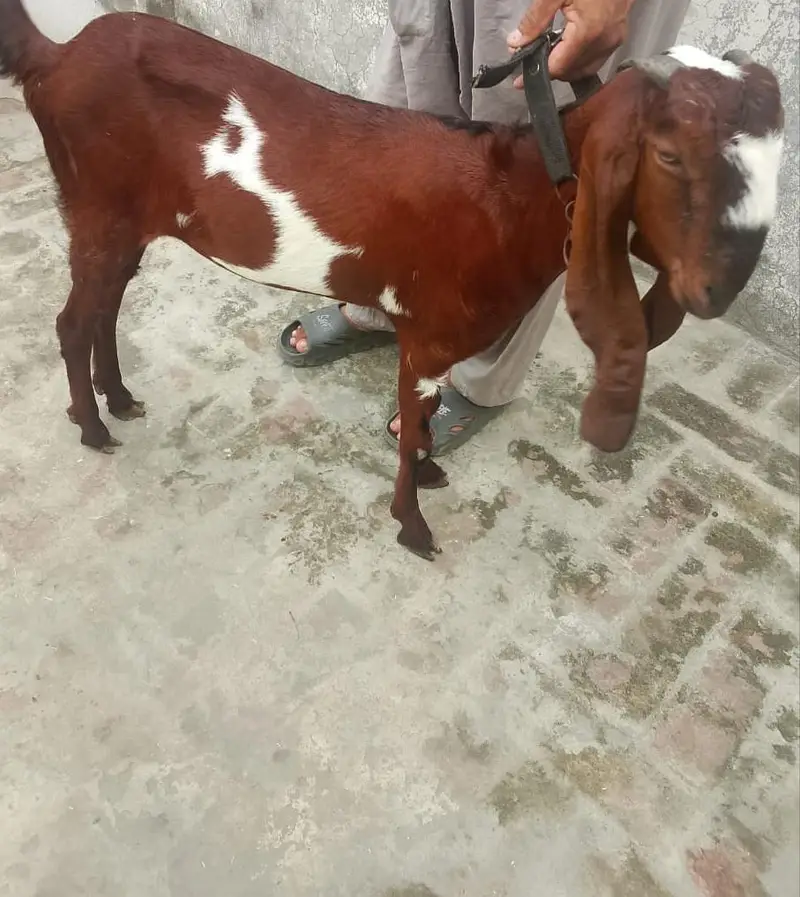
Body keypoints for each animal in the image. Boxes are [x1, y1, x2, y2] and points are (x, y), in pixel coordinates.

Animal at [0, 1, 784, 559]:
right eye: (670, 155)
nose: (721, 287)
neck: (512, 195)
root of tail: (57, 56)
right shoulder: (430, 336)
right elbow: (410, 429)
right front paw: (414, 526)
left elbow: (427, 422)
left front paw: (432, 474)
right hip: (97, 209)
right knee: (72, 321)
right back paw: (93, 426)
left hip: (121, 222)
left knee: (103, 310)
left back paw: (120, 398)